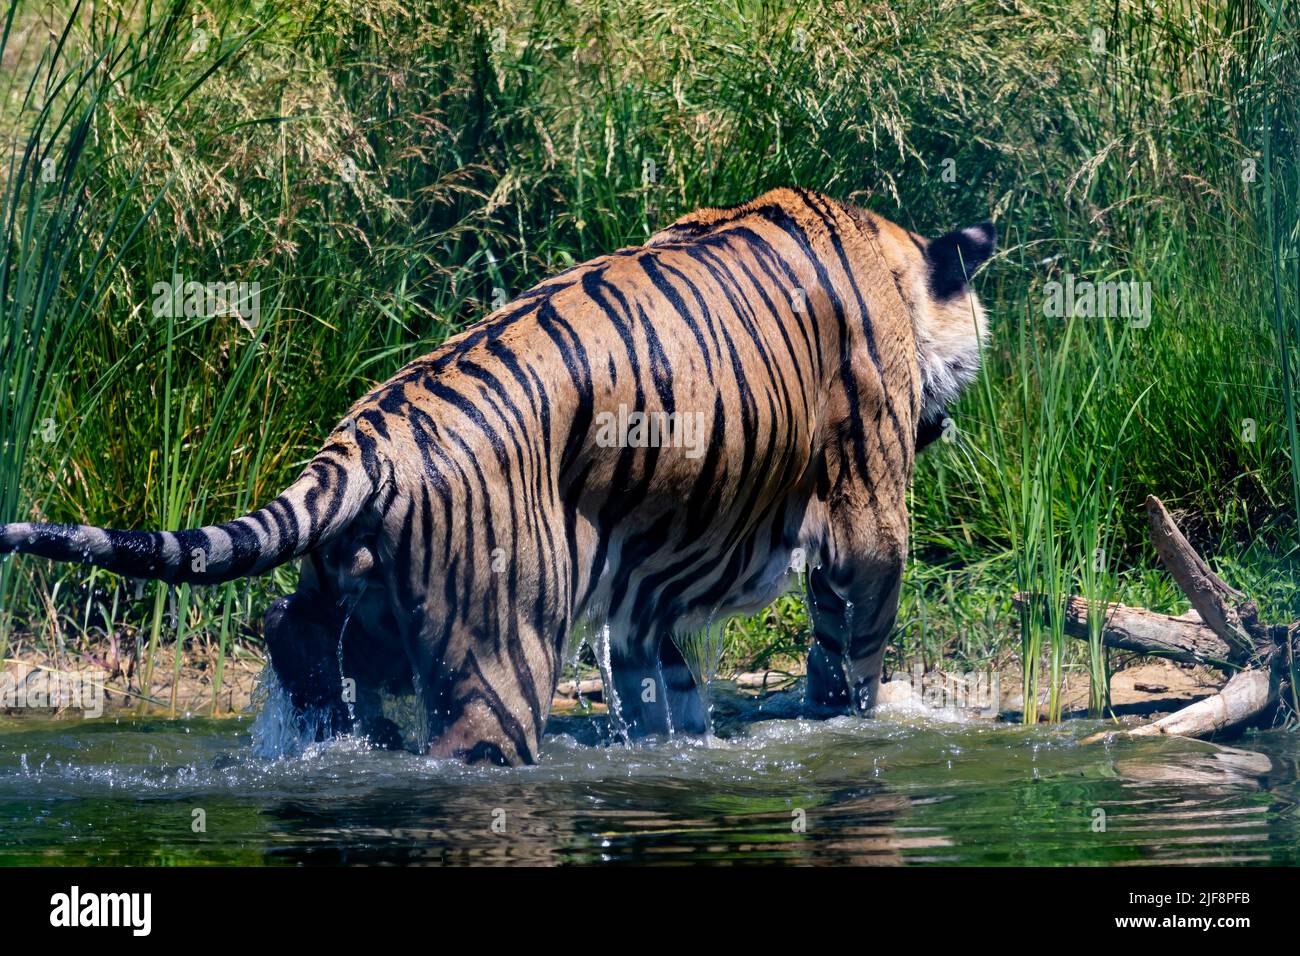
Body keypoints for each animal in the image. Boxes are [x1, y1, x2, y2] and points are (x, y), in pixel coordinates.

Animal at [0, 187, 995, 766]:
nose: (945, 420)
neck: (891, 262)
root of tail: (367, 438)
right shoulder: (867, 519)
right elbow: (852, 645)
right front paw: (852, 719)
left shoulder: (652, 585)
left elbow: (660, 682)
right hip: (498, 655)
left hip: (363, 602)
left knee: (292, 636)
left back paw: (343, 738)